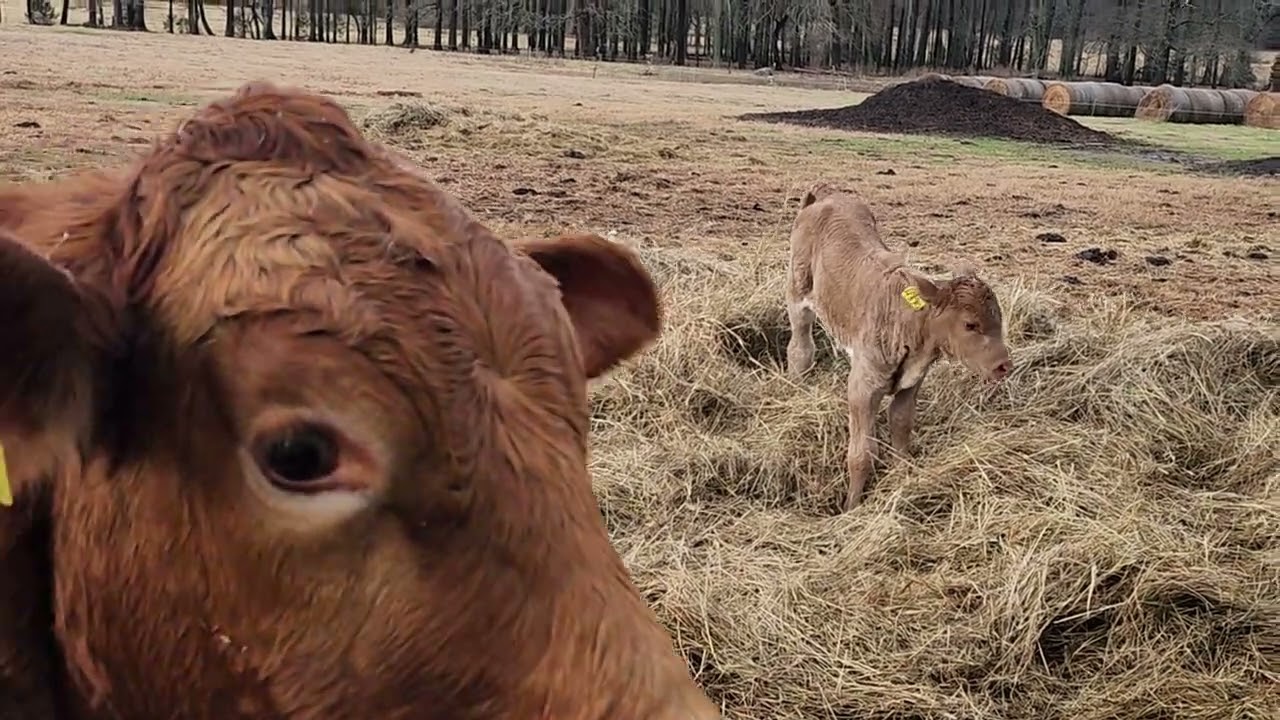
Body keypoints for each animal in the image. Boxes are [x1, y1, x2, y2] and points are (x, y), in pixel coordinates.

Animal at [784, 183, 1012, 511]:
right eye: (971, 325)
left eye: (1000, 319)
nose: (1004, 365)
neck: (910, 326)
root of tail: (825, 196)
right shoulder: (862, 386)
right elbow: (861, 453)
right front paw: (851, 508)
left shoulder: (911, 384)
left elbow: (902, 430)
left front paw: (903, 481)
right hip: (797, 292)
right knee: (800, 348)